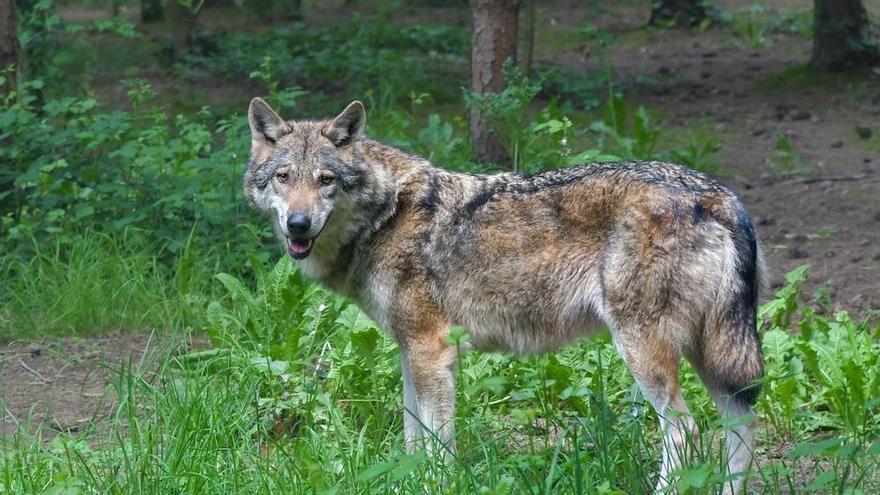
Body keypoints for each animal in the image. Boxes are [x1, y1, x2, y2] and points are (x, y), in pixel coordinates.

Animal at [244, 99, 768, 494]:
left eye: (326, 180)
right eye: (284, 178)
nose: (298, 224)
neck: (386, 215)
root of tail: (719, 196)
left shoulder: (433, 351)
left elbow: (437, 446)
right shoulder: (410, 351)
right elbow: (413, 439)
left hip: (645, 351)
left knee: (686, 432)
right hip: (712, 354)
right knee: (740, 425)